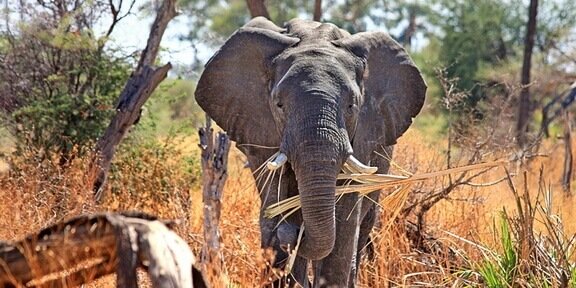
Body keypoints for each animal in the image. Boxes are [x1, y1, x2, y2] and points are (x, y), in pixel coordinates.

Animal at [196, 16, 426, 286]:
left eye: (352, 105)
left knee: (364, 224)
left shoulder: (363, 133)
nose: (294, 232)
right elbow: (276, 197)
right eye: (279, 105)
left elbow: (344, 219)